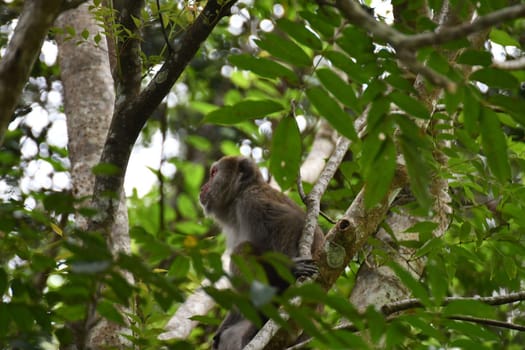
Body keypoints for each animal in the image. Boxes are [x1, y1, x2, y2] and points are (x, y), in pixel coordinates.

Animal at [200, 157, 324, 350]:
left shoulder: (251, 201)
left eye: (213, 173)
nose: (203, 187)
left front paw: (291, 269)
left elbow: (290, 220)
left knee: (241, 250)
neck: (237, 198)